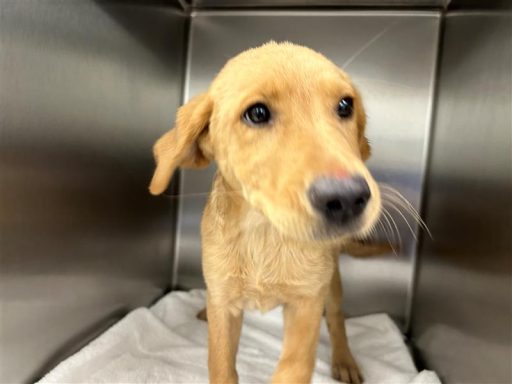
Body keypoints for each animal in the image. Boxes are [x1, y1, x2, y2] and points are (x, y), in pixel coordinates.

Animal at [148, 42, 380, 384]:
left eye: (344, 105)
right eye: (257, 113)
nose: (348, 198)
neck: (264, 233)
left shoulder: (306, 305)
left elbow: (292, 369)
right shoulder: (225, 308)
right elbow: (222, 367)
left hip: (332, 282)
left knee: (336, 317)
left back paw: (345, 359)